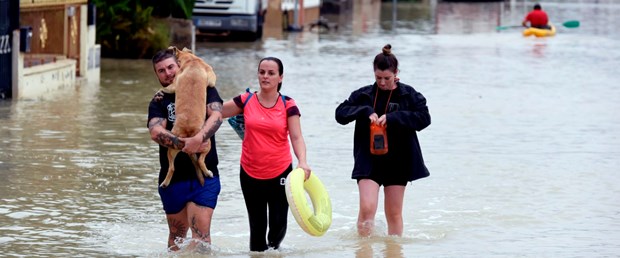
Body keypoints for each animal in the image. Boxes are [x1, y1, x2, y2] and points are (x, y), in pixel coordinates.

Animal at [160, 45, 218, 187]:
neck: (191, 61)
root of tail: (187, 132)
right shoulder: (211, 76)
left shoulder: (173, 84)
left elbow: (166, 88)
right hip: (207, 142)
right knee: (201, 161)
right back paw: (208, 173)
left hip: (171, 148)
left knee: (172, 167)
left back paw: (165, 182)